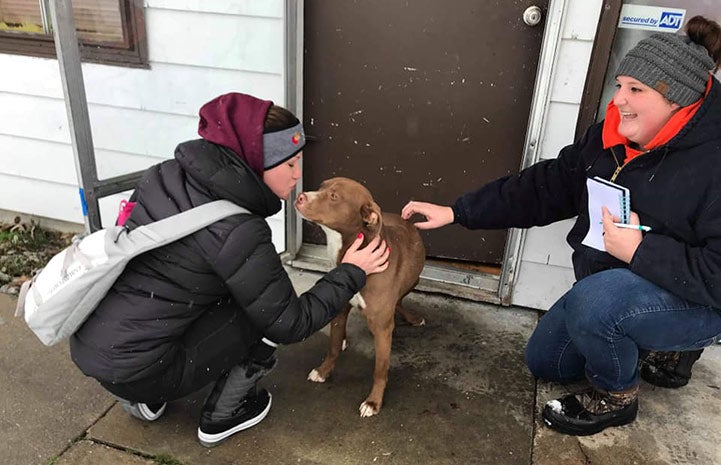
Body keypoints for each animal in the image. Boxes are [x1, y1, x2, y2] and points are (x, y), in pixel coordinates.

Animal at [294, 177, 424, 416]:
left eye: (334, 196)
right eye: (321, 185)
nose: (300, 197)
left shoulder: (381, 327)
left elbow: (380, 369)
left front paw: (373, 402)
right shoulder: (338, 307)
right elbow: (333, 346)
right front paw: (324, 371)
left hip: (415, 279)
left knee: (399, 300)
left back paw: (412, 317)